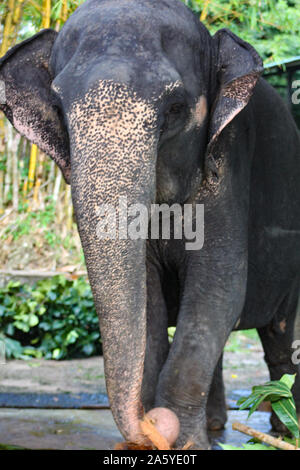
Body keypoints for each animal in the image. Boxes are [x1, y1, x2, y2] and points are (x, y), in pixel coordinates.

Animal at [0, 0, 300, 450]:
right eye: (58, 108)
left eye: (174, 108)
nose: (149, 426)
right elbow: (148, 300)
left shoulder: (228, 169)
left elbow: (218, 290)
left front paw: (185, 444)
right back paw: (217, 427)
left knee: (280, 336)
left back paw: (279, 429)